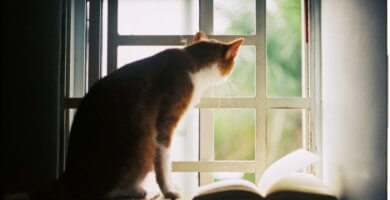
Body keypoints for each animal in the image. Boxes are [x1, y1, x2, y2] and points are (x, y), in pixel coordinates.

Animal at [61, 32, 244, 199]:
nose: (230, 78)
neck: (192, 62)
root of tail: (69, 181)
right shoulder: (165, 123)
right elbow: (164, 161)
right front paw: (169, 190)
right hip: (141, 145)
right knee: (107, 192)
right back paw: (138, 190)